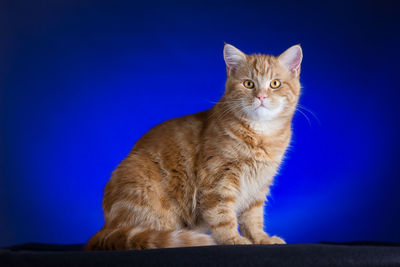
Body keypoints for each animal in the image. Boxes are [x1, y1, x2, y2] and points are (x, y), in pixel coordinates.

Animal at [86, 43, 302, 250]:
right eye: (248, 84)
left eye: (275, 84)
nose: (261, 97)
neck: (261, 135)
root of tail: (107, 227)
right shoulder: (217, 180)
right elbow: (223, 217)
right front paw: (233, 239)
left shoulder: (258, 186)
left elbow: (253, 219)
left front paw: (261, 238)